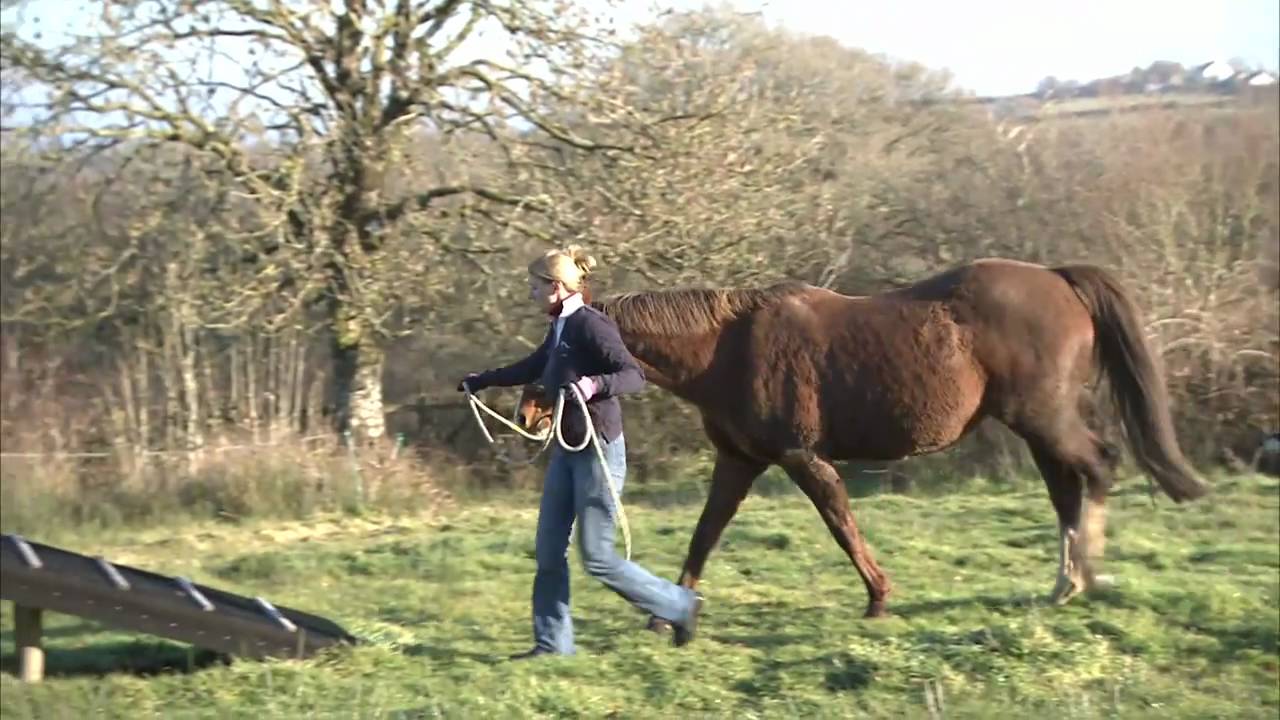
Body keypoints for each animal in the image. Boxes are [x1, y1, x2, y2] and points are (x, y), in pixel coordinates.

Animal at [513, 258, 1209, 624]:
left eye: (562, 348)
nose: (529, 414)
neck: (728, 348)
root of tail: (1061, 281)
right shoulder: (740, 461)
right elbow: (705, 534)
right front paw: (669, 612)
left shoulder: (801, 457)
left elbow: (841, 523)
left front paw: (878, 598)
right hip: (1036, 424)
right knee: (1068, 487)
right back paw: (1067, 583)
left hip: (1046, 417)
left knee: (1098, 469)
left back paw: (1085, 576)